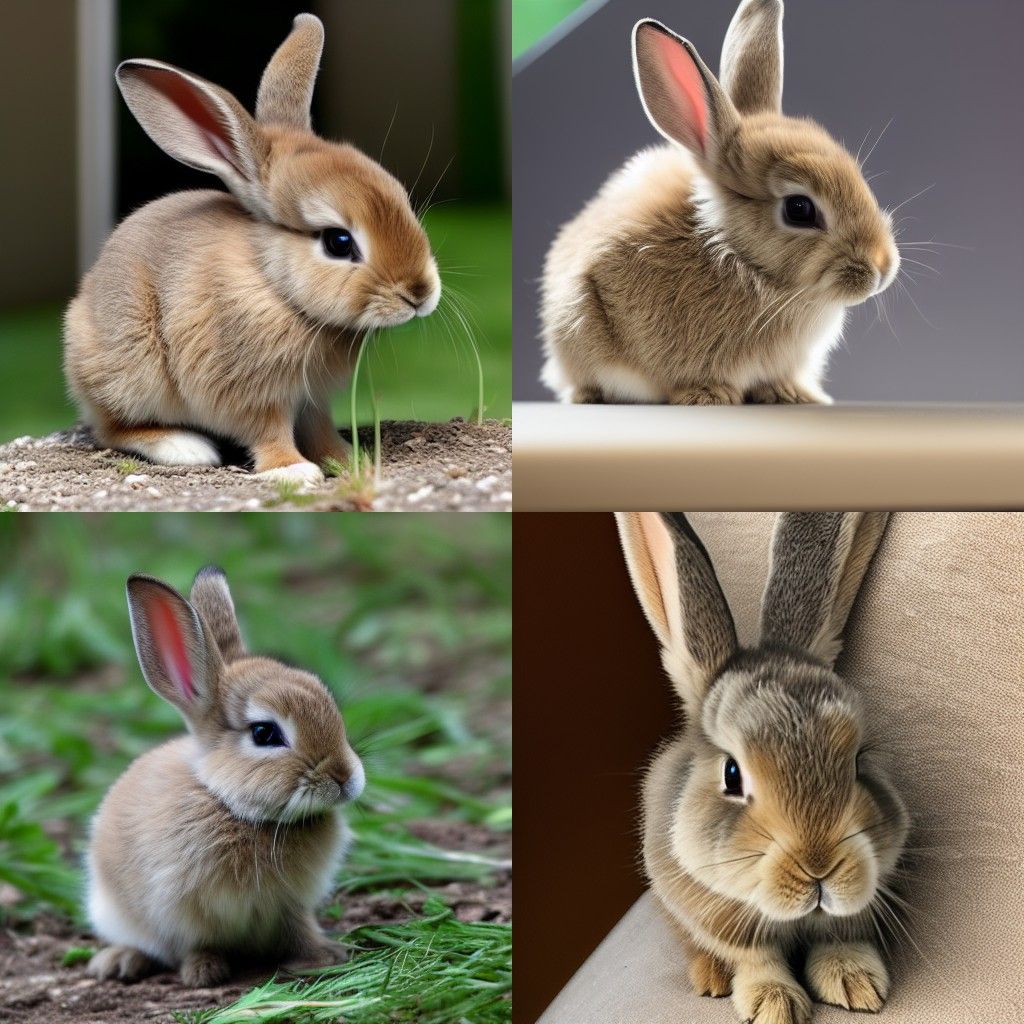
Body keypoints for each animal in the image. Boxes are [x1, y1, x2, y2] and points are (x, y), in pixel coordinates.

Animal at [64, 14, 441, 485]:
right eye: (338, 242)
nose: (419, 294)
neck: (275, 286)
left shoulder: (312, 397)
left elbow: (318, 429)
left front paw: (349, 460)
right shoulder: (251, 393)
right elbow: (269, 431)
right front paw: (293, 471)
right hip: (131, 371)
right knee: (112, 426)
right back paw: (184, 448)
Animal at [85, 566, 365, 986]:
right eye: (264, 734)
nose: (346, 777)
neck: (230, 804)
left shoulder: (291, 905)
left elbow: (299, 929)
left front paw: (323, 955)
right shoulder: (181, 911)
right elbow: (195, 943)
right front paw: (203, 971)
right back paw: (120, 961)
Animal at [614, 512, 909, 1024]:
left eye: (858, 761)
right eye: (732, 775)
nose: (819, 866)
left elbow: (840, 939)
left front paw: (857, 985)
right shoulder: (713, 915)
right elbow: (755, 957)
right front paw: (775, 1004)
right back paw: (710, 977)